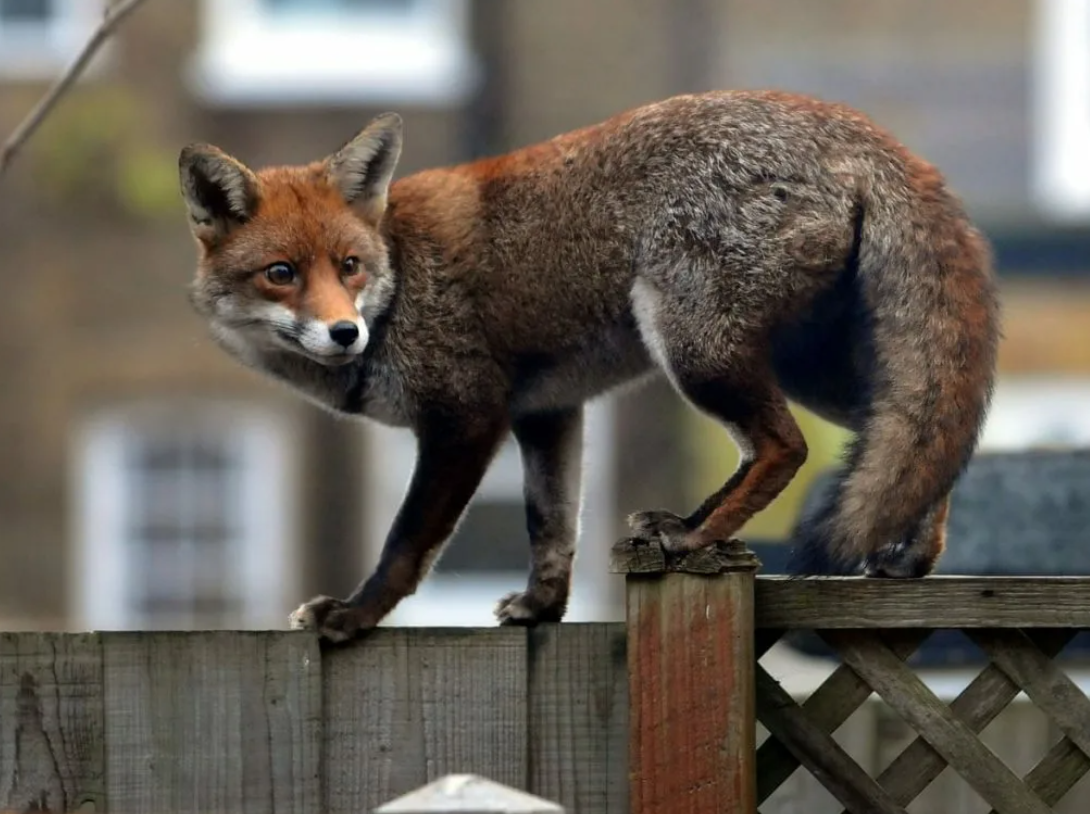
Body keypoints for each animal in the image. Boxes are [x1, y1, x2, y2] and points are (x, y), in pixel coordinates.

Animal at [176, 89, 998, 645]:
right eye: (281, 274)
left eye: (348, 266)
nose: (344, 332)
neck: (402, 278)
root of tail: (848, 122)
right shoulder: (546, 412)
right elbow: (551, 526)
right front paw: (542, 610)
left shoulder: (465, 417)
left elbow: (407, 543)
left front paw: (354, 616)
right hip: (798, 366)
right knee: (918, 438)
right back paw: (908, 558)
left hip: (696, 349)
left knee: (784, 447)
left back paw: (693, 538)